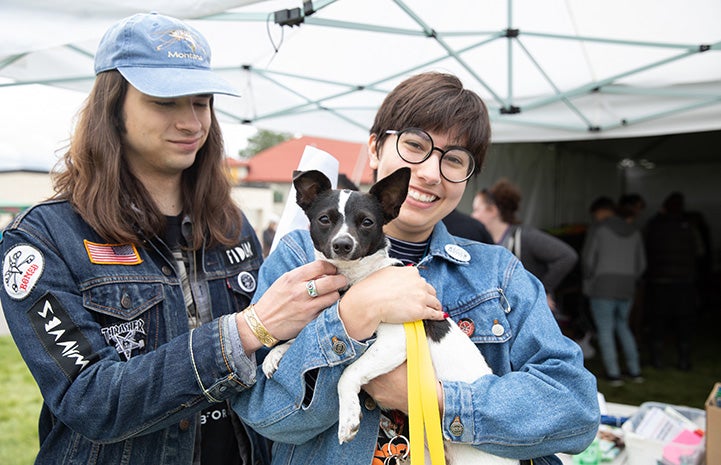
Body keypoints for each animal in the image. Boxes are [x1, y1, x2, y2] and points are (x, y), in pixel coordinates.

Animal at [264, 168, 516, 464]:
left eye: (367, 222)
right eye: (324, 219)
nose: (342, 244)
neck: (358, 278)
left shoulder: (395, 342)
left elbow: (347, 372)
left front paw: (348, 418)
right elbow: (306, 335)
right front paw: (275, 354)